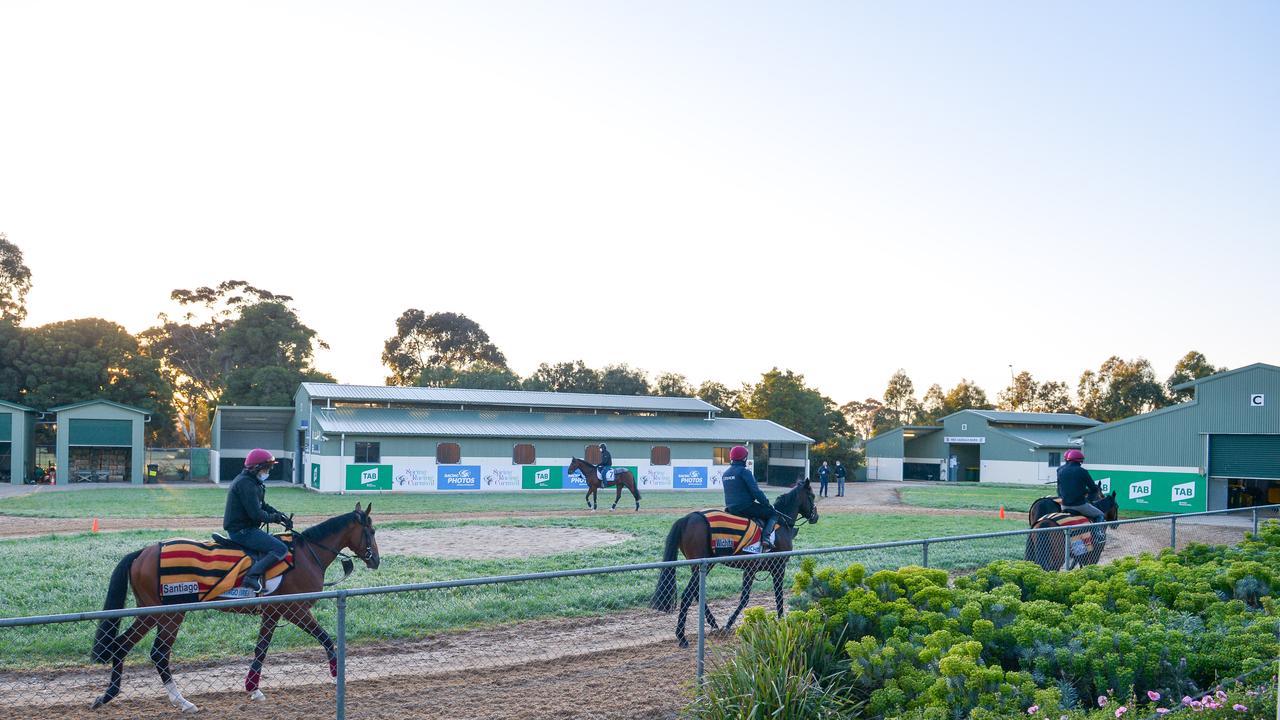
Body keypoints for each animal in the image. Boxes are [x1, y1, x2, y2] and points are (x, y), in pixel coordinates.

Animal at [90, 502, 378, 707]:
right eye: (372, 531)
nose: (376, 560)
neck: (306, 554)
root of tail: (144, 552)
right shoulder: (295, 610)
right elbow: (326, 638)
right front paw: (336, 673)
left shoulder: (273, 613)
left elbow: (261, 649)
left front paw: (253, 688)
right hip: (171, 615)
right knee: (159, 654)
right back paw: (180, 700)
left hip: (150, 613)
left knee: (121, 645)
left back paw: (109, 694)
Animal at [650, 476, 819, 645]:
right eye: (812, 496)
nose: (816, 516)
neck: (781, 524)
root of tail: (688, 518)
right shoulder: (778, 568)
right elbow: (776, 596)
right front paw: (781, 622)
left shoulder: (750, 569)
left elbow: (745, 598)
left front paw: (728, 624)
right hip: (703, 565)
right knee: (687, 595)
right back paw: (682, 636)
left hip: (700, 566)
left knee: (697, 593)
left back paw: (713, 623)